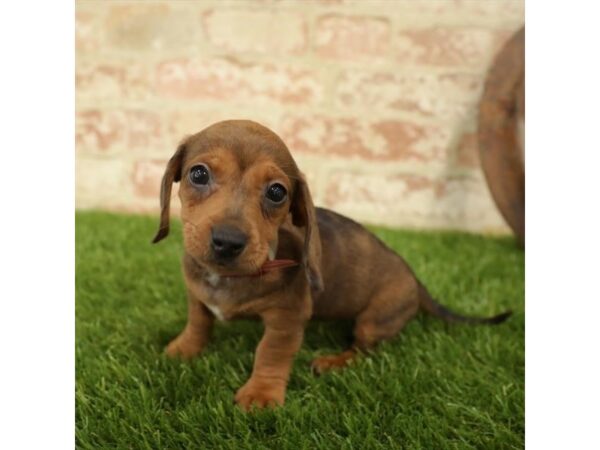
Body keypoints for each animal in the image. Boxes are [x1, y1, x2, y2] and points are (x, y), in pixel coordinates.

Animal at [152, 119, 508, 412]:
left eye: (277, 192)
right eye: (199, 174)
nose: (227, 241)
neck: (227, 277)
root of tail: (417, 283)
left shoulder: (287, 319)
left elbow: (270, 353)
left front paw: (261, 394)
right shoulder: (197, 295)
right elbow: (199, 322)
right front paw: (184, 349)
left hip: (374, 320)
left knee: (364, 350)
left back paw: (333, 362)